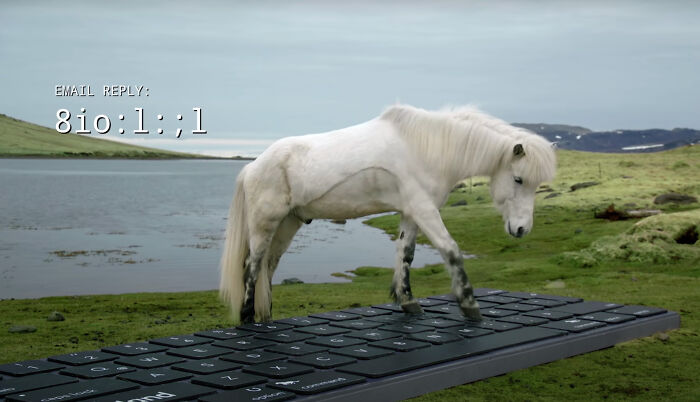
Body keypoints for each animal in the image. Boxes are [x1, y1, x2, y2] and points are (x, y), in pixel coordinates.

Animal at [220, 104, 557, 324]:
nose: (522, 229)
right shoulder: (424, 209)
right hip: (264, 224)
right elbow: (450, 250)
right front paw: (469, 305)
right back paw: (247, 318)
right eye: (518, 179)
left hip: (288, 224)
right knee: (252, 267)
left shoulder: (412, 212)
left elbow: (405, 254)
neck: (427, 147)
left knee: (268, 267)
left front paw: (407, 301)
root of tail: (253, 165)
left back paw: (266, 316)